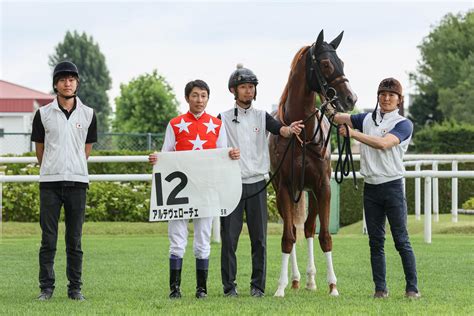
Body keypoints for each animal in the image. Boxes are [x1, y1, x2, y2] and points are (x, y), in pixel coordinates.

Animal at [268, 30, 358, 296]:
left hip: (312, 193)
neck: (303, 135)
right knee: (294, 229)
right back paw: (296, 279)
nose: (351, 98)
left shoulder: (323, 187)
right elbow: (288, 237)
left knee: (308, 228)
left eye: (342, 62)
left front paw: (333, 286)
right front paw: (280, 287)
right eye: (326, 64)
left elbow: (325, 236)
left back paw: (309, 279)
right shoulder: (284, 189)